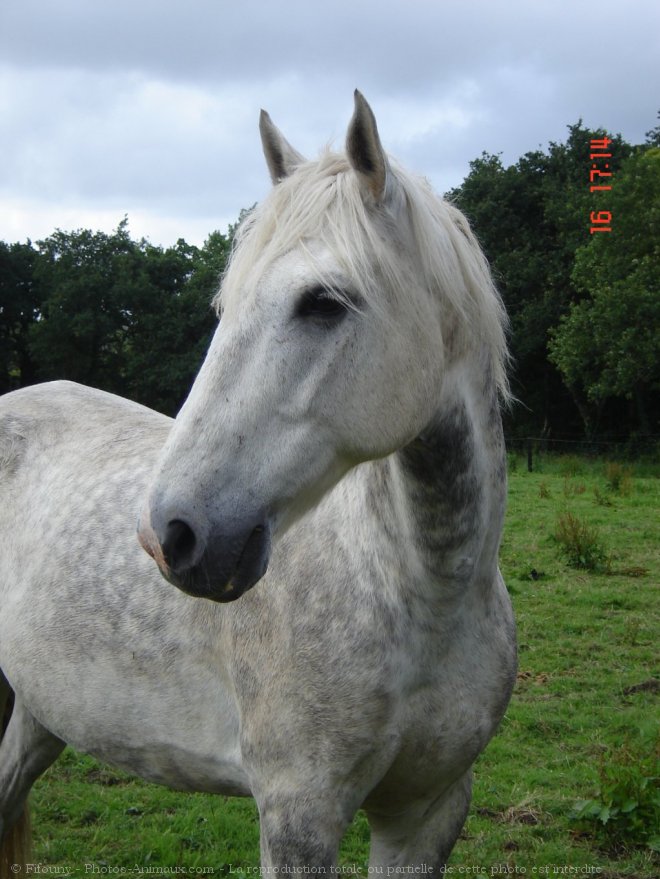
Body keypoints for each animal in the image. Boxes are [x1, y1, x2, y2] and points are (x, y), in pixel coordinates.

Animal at [0, 91, 516, 872]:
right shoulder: (298, 815)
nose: (170, 535)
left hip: (38, 714)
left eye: (323, 302)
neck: (420, 596)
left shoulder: (428, 812)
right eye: (225, 308)